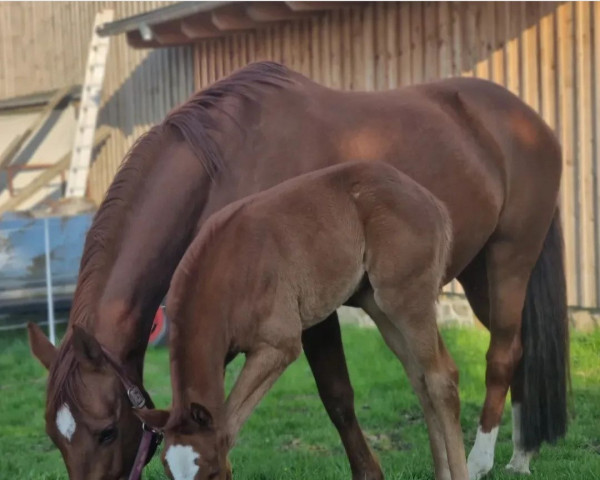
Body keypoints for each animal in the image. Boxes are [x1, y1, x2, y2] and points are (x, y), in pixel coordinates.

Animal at [138, 162, 466, 480]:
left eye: (212, 471)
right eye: (167, 470)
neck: (227, 270)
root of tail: (433, 202)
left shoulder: (279, 345)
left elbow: (229, 424)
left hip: (406, 299)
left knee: (440, 377)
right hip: (379, 305)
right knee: (420, 378)